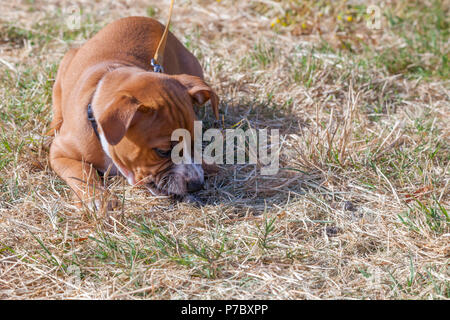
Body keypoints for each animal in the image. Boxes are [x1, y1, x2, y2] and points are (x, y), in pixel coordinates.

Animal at [49, 16, 218, 209]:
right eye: (163, 152)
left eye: (197, 141)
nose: (197, 184)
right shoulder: (59, 153)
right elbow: (82, 171)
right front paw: (97, 197)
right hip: (65, 65)